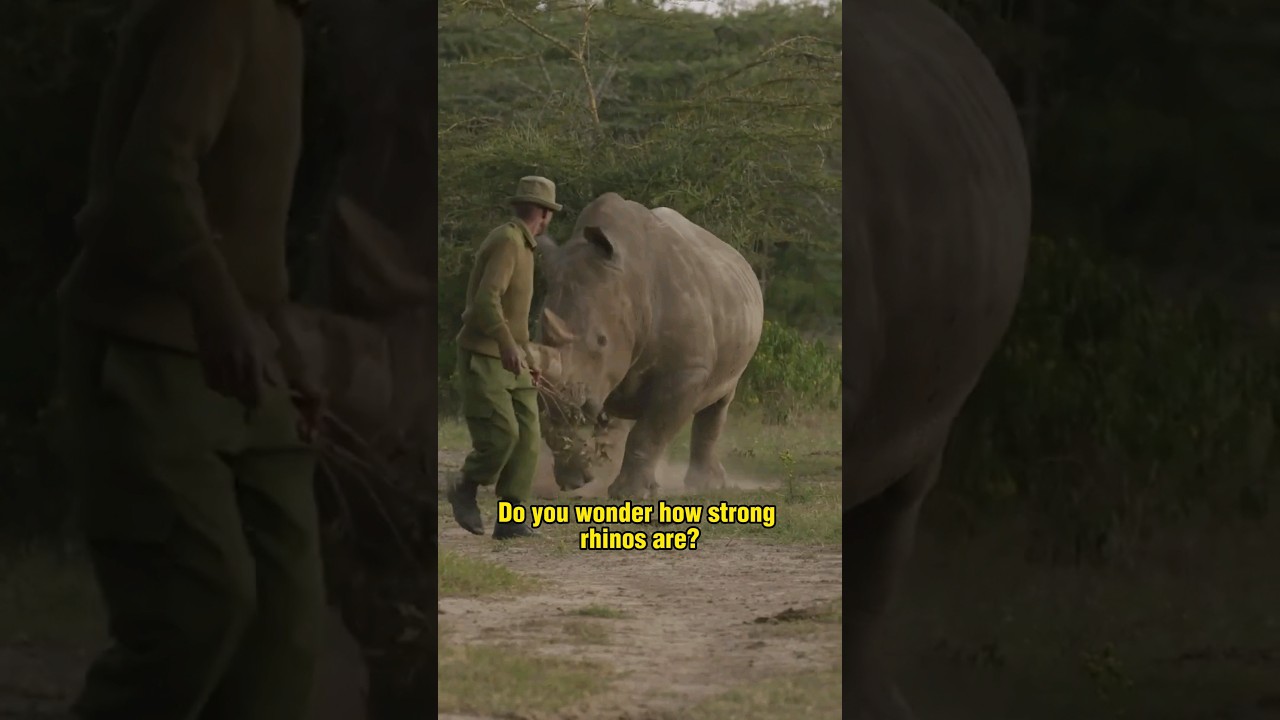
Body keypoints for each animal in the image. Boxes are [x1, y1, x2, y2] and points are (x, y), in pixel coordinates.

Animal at [530, 193, 765, 498]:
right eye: (539, 336)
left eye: (601, 340)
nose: (563, 403)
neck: (629, 282)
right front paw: (576, 479)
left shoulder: (688, 371)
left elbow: (650, 432)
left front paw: (629, 494)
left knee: (719, 402)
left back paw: (705, 485)